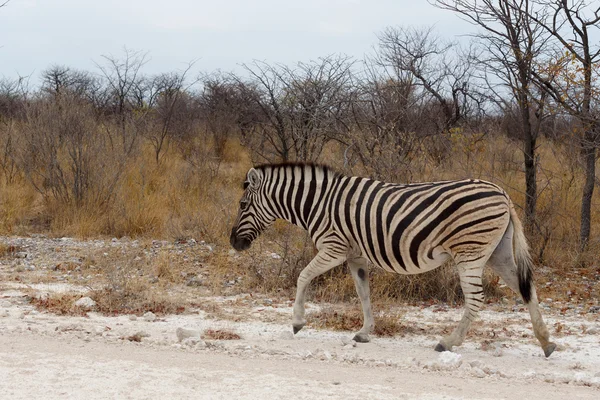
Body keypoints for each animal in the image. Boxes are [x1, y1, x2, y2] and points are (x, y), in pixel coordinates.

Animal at [230, 162, 556, 356]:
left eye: (243, 205)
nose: (233, 242)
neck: (318, 204)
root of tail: (501, 192)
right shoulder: (356, 256)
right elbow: (363, 294)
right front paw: (365, 332)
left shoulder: (334, 248)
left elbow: (303, 276)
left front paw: (297, 322)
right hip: (497, 253)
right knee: (527, 288)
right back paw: (546, 342)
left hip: (470, 252)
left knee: (476, 299)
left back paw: (448, 342)